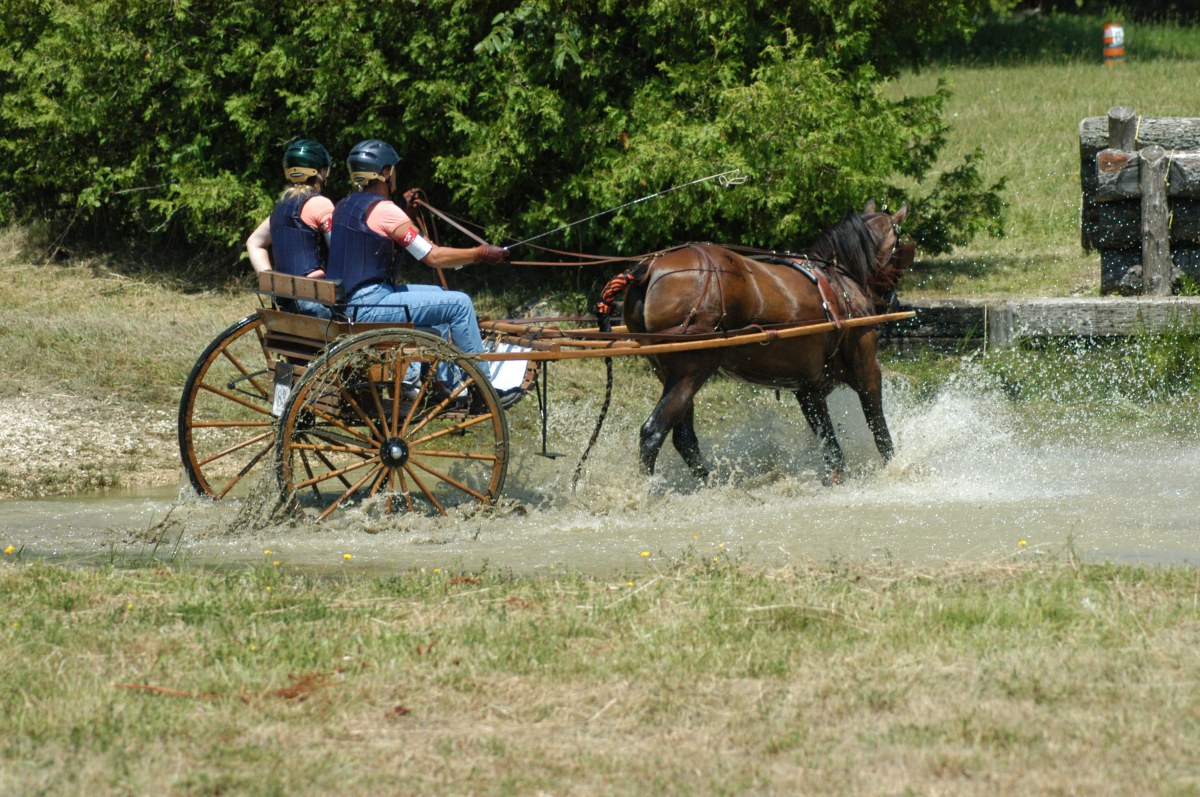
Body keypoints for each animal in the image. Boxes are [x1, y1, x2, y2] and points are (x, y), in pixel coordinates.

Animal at [614, 201, 912, 486]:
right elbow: (877, 423)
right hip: (691, 371)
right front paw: (893, 467)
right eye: (903, 249)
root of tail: (648, 269)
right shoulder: (866, 367)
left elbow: (827, 436)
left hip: (673, 374)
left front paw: (836, 475)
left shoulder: (808, 387)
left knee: (683, 438)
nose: (892, 300)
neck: (840, 282)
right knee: (653, 432)